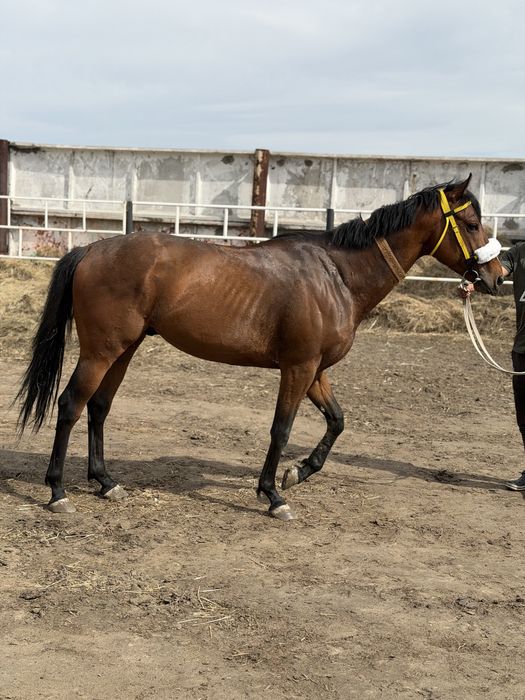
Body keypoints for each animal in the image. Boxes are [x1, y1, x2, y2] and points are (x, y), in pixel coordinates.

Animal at [16, 175, 504, 520]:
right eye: (472, 224)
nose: (497, 276)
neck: (337, 276)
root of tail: (91, 249)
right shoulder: (298, 367)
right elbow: (281, 430)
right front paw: (273, 494)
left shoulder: (316, 370)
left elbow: (337, 421)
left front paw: (298, 473)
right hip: (101, 351)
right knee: (71, 405)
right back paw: (57, 491)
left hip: (125, 350)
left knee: (98, 408)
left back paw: (105, 482)